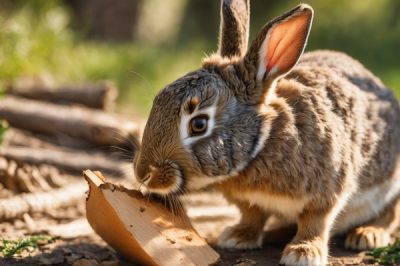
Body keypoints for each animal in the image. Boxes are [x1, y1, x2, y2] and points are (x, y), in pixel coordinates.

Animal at [134, 1, 400, 264]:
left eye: (198, 124)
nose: (142, 174)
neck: (262, 141)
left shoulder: (327, 189)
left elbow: (315, 222)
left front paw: (303, 253)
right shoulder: (249, 201)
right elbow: (253, 215)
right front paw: (238, 237)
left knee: (389, 214)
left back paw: (367, 235)